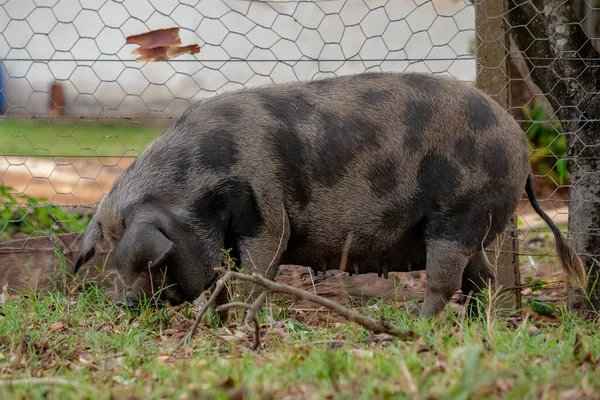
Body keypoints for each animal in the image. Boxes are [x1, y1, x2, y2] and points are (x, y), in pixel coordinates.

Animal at [72, 70, 584, 318]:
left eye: (152, 265)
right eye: (113, 260)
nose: (123, 305)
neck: (196, 186)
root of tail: (520, 143)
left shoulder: (266, 214)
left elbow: (257, 272)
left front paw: (240, 325)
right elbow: (223, 280)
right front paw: (218, 323)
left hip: (459, 215)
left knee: (446, 282)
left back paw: (415, 327)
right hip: (473, 225)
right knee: (483, 279)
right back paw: (481, 326)